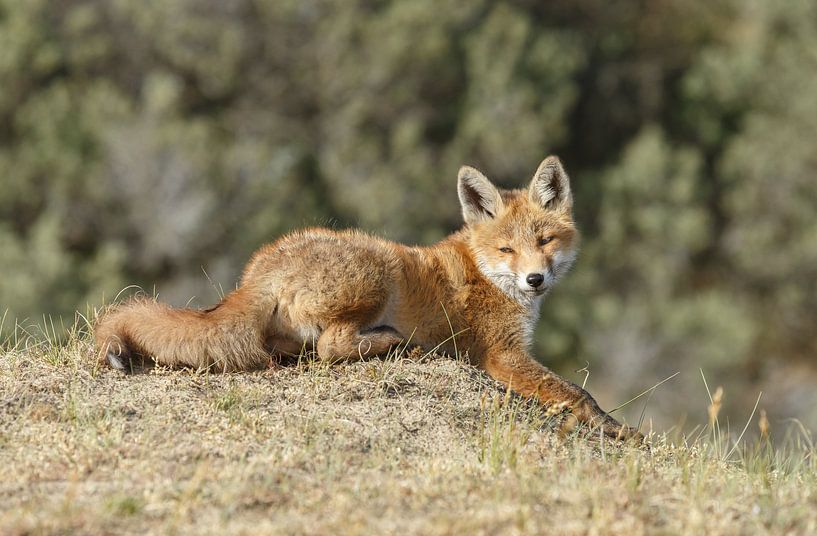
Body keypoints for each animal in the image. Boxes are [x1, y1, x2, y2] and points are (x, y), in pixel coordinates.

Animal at [95, 155, 640, 440]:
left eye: (545, 241)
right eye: (507, 249)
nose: (534, 280)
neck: (483, 272)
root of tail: (258, 270)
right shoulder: (501, 355)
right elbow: (579, 394)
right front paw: (619, 430)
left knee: (295, 349)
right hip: (379, 273)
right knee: (330, 348)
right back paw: (398, 344)